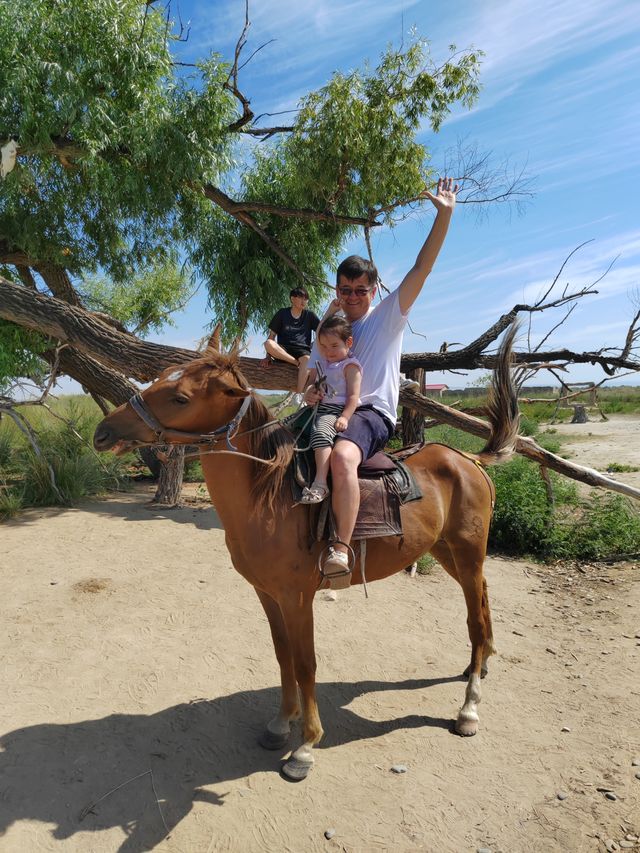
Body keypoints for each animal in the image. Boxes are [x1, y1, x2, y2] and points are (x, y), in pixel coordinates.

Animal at [94, 324, 520, 780]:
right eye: (158, 380)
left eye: (180, 398)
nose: (104, 432)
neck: (270, 496)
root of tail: (468, 458)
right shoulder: (267, 594)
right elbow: (283, 657)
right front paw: (282, 723)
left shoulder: (297, 598)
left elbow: (305, 663)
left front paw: (305, 745)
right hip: (447, 552)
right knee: (484, 601)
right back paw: (481, 664)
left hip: (468, 552)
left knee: (475, 620)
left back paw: (469, 708)